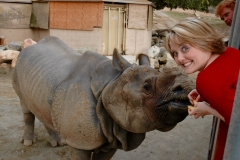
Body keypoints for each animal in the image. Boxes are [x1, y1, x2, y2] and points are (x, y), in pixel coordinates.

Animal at [12, 36, 195, 160]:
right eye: (147, 87)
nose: (187, 87)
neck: (111, 83)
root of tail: (29, 46)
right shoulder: (80, 143)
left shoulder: (114, 137)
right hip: (20, 67)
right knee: (25, 105)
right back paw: (28, 142)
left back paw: (58, 142)